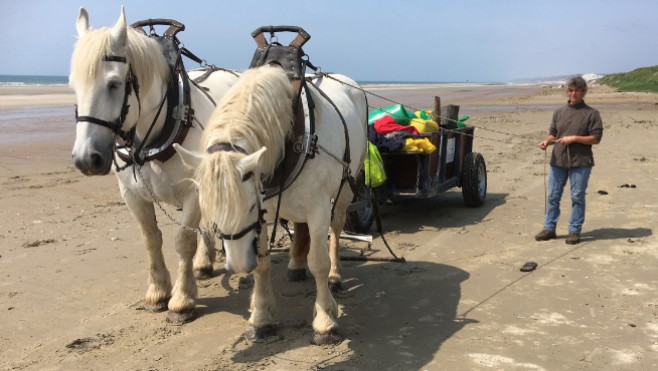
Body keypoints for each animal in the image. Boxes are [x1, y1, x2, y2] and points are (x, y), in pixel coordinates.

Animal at [69, 7, 237, 324]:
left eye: (113, 84)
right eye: (73, 86)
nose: (86, 158)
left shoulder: (194, 191)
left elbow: (183, 240)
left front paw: (182, 300)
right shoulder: (132, 195)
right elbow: (151, 239)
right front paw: (158, 292)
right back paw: (204, 263)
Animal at [174, 64, 366, 346]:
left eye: (249, 208)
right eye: (210, 217)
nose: (238, 266)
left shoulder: (318, 208)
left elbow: (318, 262)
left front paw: (325, 321)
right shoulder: (266, 212)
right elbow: (263, 264)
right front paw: (262, 318)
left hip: (345, 189)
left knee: (336, 228)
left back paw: (335, 275)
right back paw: (296, 265)